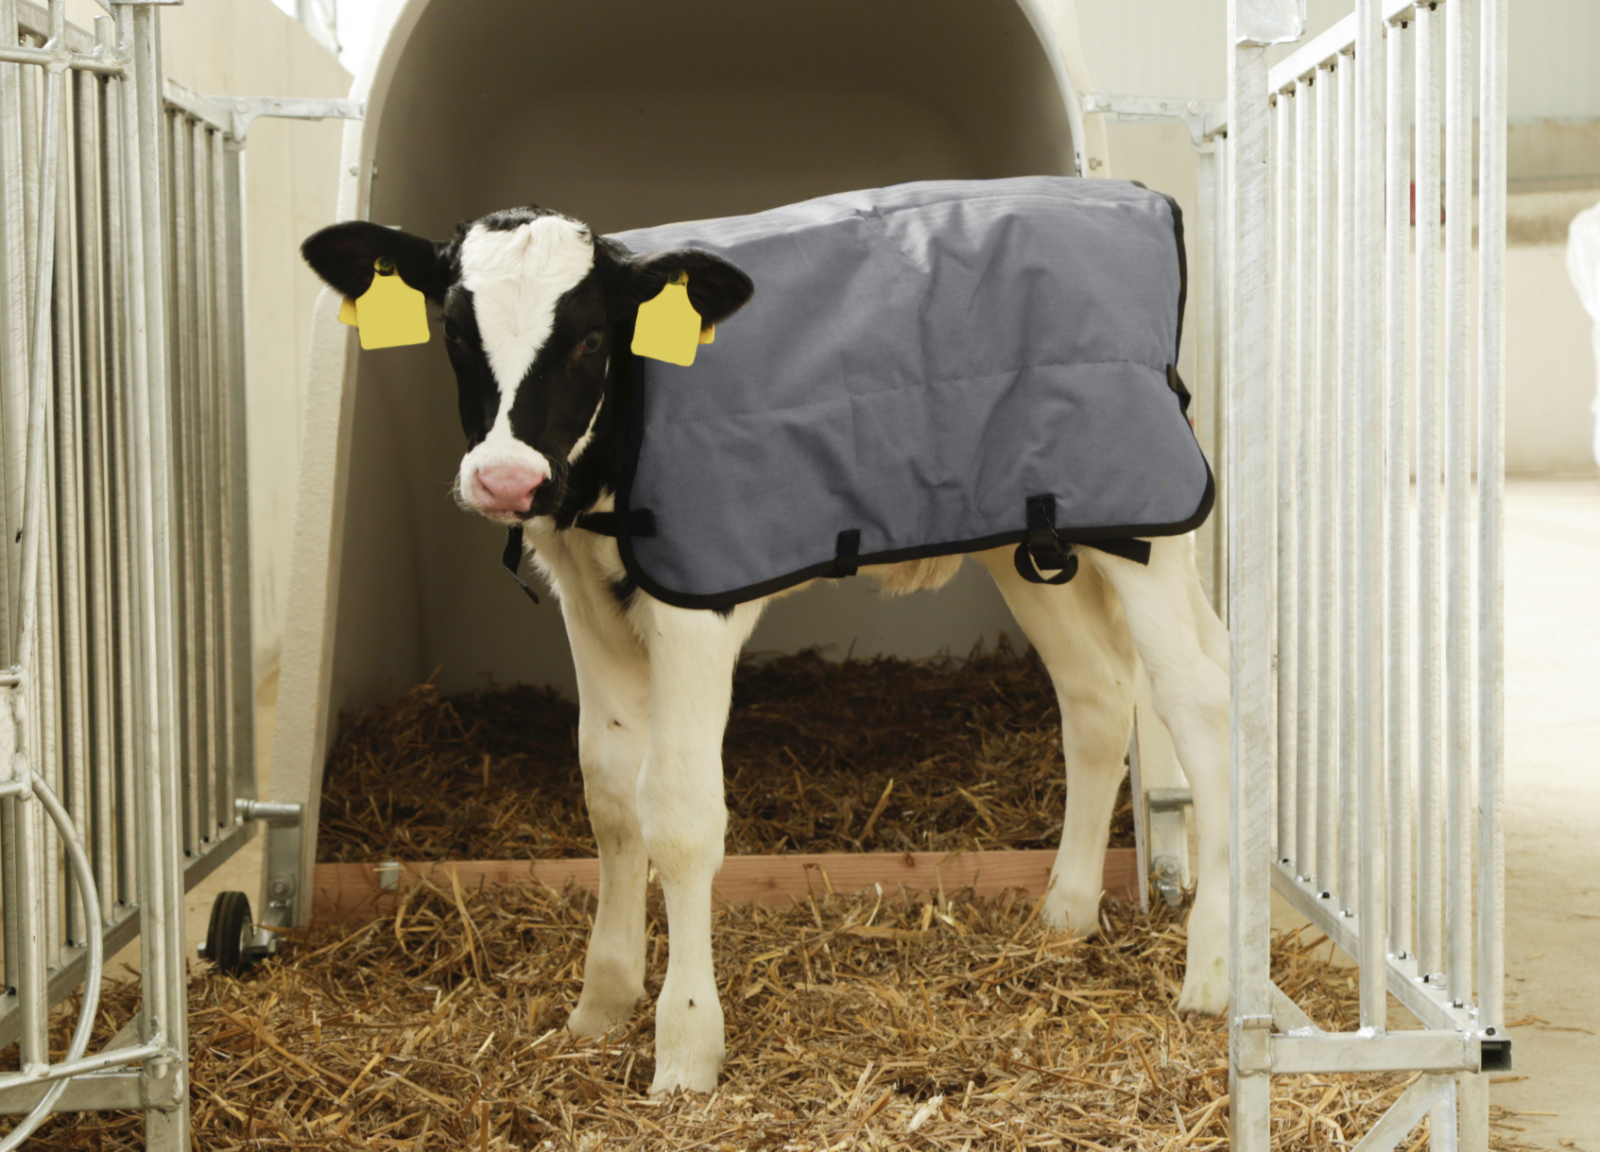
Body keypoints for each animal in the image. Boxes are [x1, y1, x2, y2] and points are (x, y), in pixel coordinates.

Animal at [302, 186, 1230, 1095]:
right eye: (457, 330)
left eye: (593, 336)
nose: (506, 480)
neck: (617, 450)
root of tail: (1128, 196)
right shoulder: (584, 601)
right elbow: (608, 793)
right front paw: (600, 1006)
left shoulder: (694, 607)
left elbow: (678, 814)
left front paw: (684, 1049)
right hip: (1033, 540)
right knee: (1098, 694)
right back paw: (1065, 917)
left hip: (1145, 525)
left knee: (1204, 706)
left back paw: (1213, 973)